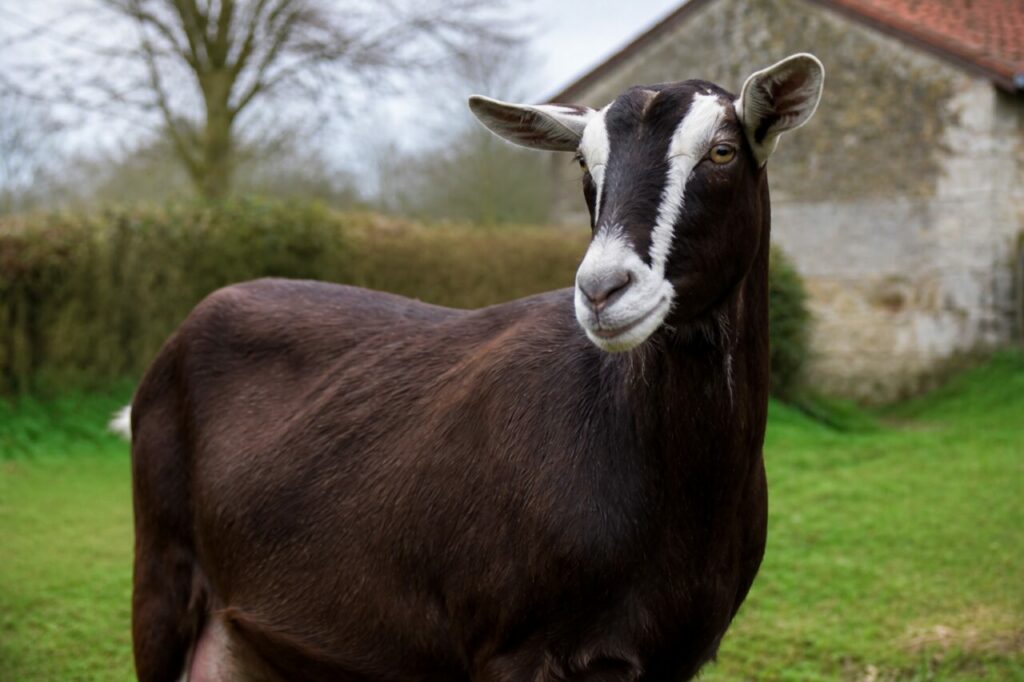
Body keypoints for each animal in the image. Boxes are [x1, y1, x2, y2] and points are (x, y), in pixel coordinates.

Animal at [125, 54, 823, 681]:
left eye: (724, 151)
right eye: (583, 162)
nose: (603, 291)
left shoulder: (671, 657)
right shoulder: (510, 645)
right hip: (159, 574)